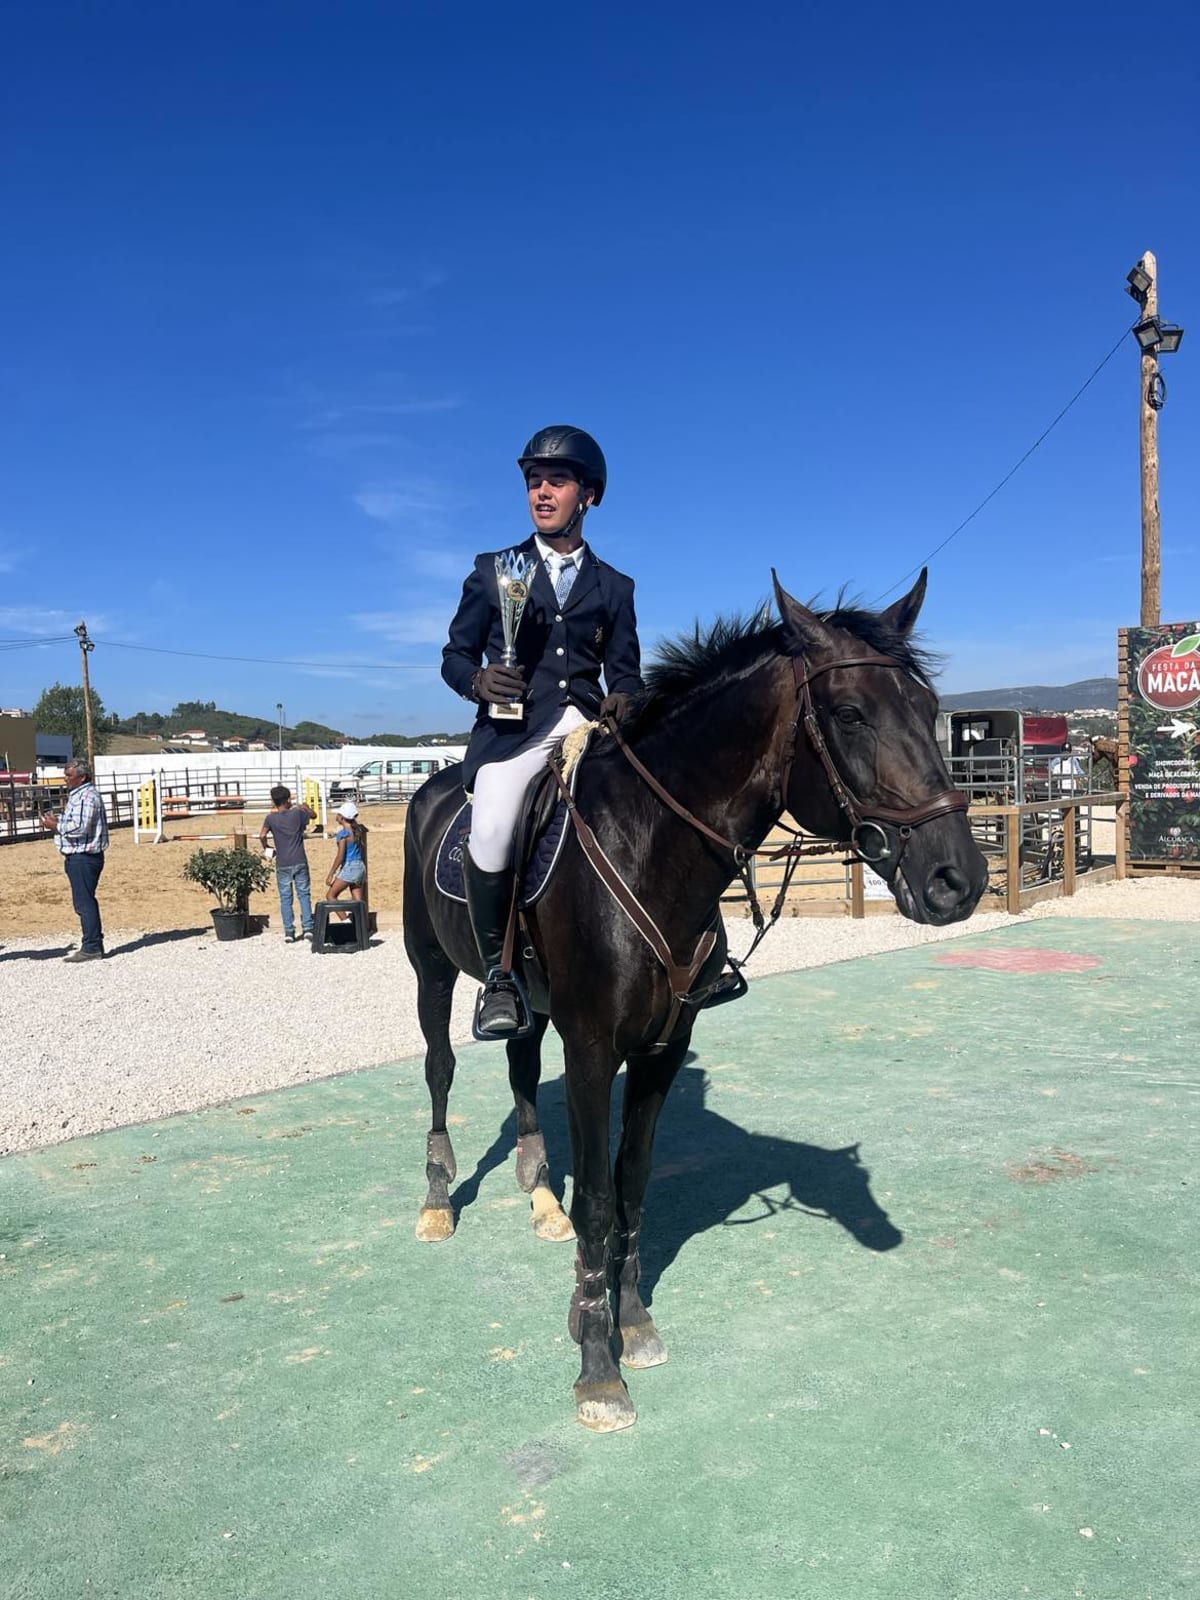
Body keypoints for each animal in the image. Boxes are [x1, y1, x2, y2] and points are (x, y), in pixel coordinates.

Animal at [402, 569, 989, 1431]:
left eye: (930, 709)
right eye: (850, 714)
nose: (960, 880)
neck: (650, 846)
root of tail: (439, 783)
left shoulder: (662, 1048)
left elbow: (634, 1183)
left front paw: (630, 1318)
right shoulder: (593, 1049)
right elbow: (601, 1200)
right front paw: (597, 1365)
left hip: (529, 1001)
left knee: (519, 1067)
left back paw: (540, 1197)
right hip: (430, 971)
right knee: (440, 1071)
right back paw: (440, 1200)